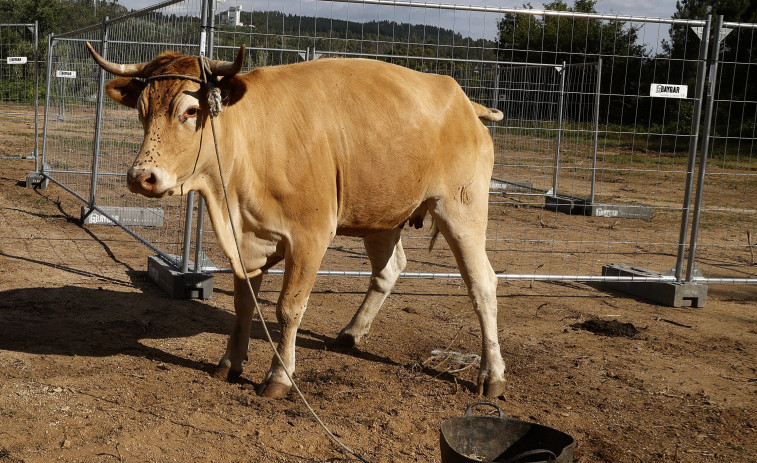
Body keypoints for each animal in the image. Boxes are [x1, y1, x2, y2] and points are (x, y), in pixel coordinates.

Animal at [85, 43, 504, 398]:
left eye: (189, 111)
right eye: (142, 111)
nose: (141, 176)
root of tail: (463, 101)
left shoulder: (309, 237)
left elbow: (288, 307)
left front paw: (279, 377)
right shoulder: (244, 241)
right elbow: (244, 303)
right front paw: (230, 362)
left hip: (461, 207)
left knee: (482, 282)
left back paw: (492, 374)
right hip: (381, 214)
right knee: (389, 269)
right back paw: (352, 333)